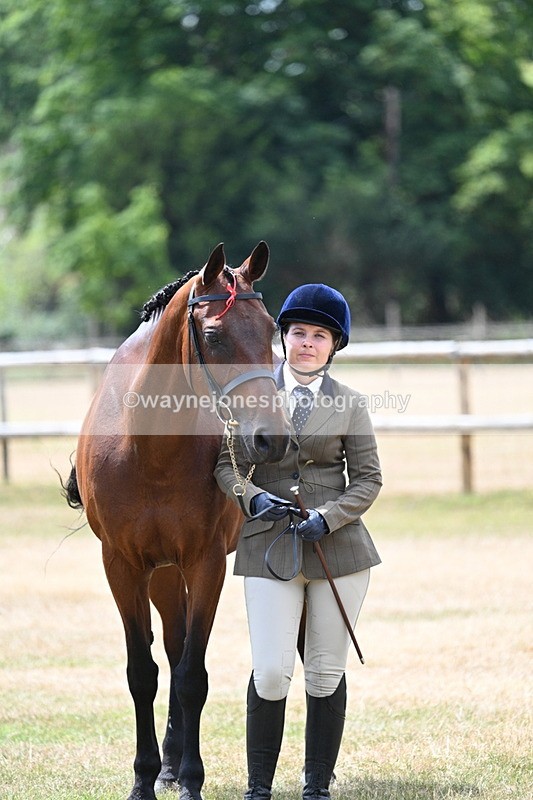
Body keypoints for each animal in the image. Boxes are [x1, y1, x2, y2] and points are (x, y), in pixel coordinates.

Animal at [64, 241, 291, 800]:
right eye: (213, 335)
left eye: (270, 328)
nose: (271, 438)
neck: (149, 448)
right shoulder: (122, 565)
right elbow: (142, 671)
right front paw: (144, 779)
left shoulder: (205, 563)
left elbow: (192, 676)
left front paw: (192, 779)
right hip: (161, 571)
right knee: (169, 643)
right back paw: (164, 765)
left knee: (182, 650)